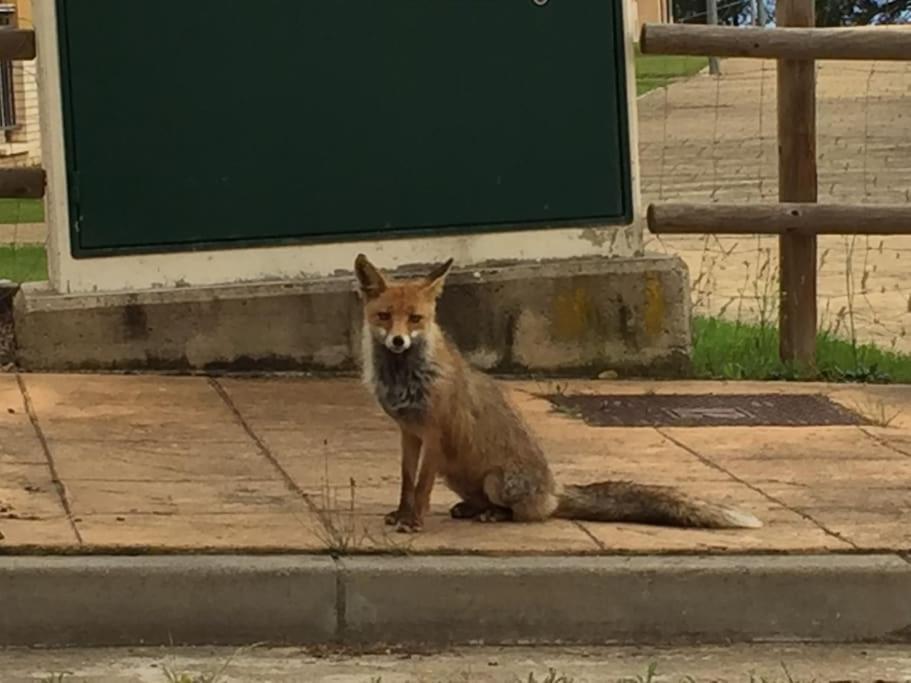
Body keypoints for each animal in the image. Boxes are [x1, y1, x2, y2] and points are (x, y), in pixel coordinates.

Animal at [352, 251, 764, 536]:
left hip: (496, 482)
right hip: (455, 475)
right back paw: (470, 510)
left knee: (528, 514)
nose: (399, 341)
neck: (404, 377)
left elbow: (421, 486)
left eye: (415, 319)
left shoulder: (436, 431)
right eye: (384, 316)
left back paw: (493, 514)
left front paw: (414, 523)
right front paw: (400, 515)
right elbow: (407, 481)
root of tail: (554, 488)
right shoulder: (409, 432)